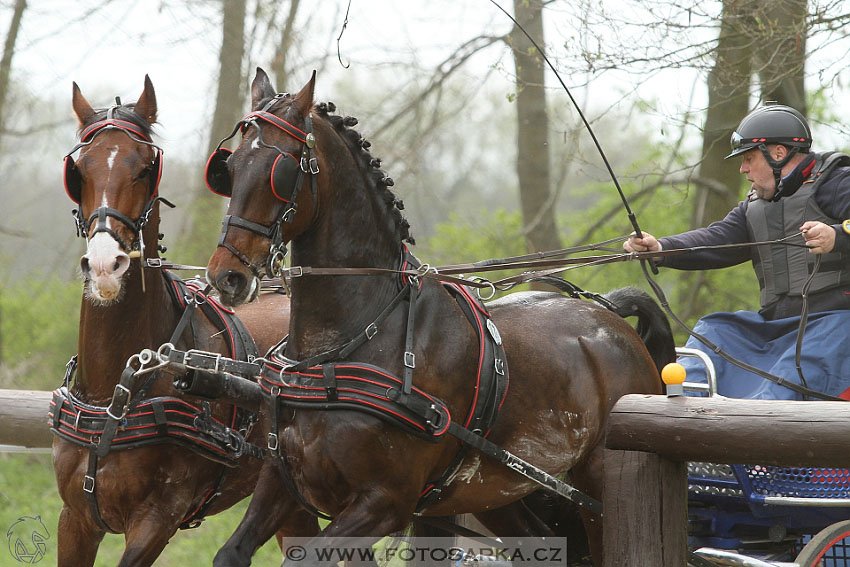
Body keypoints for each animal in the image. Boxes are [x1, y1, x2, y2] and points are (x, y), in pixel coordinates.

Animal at [53, 76, 318, 567]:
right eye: (78, 171)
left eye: (146, 168)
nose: (105, 266)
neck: (114, 389)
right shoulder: (74, 519)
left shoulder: (158, 519)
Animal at [204, 69, 668, 564]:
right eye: (230, 170)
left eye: (282, 169)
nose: (226, 275)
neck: (343, 346)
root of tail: (610, 314)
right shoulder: (282, 478)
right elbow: (230, 552)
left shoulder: (385, 502)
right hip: (495, 492)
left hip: (597, 486)